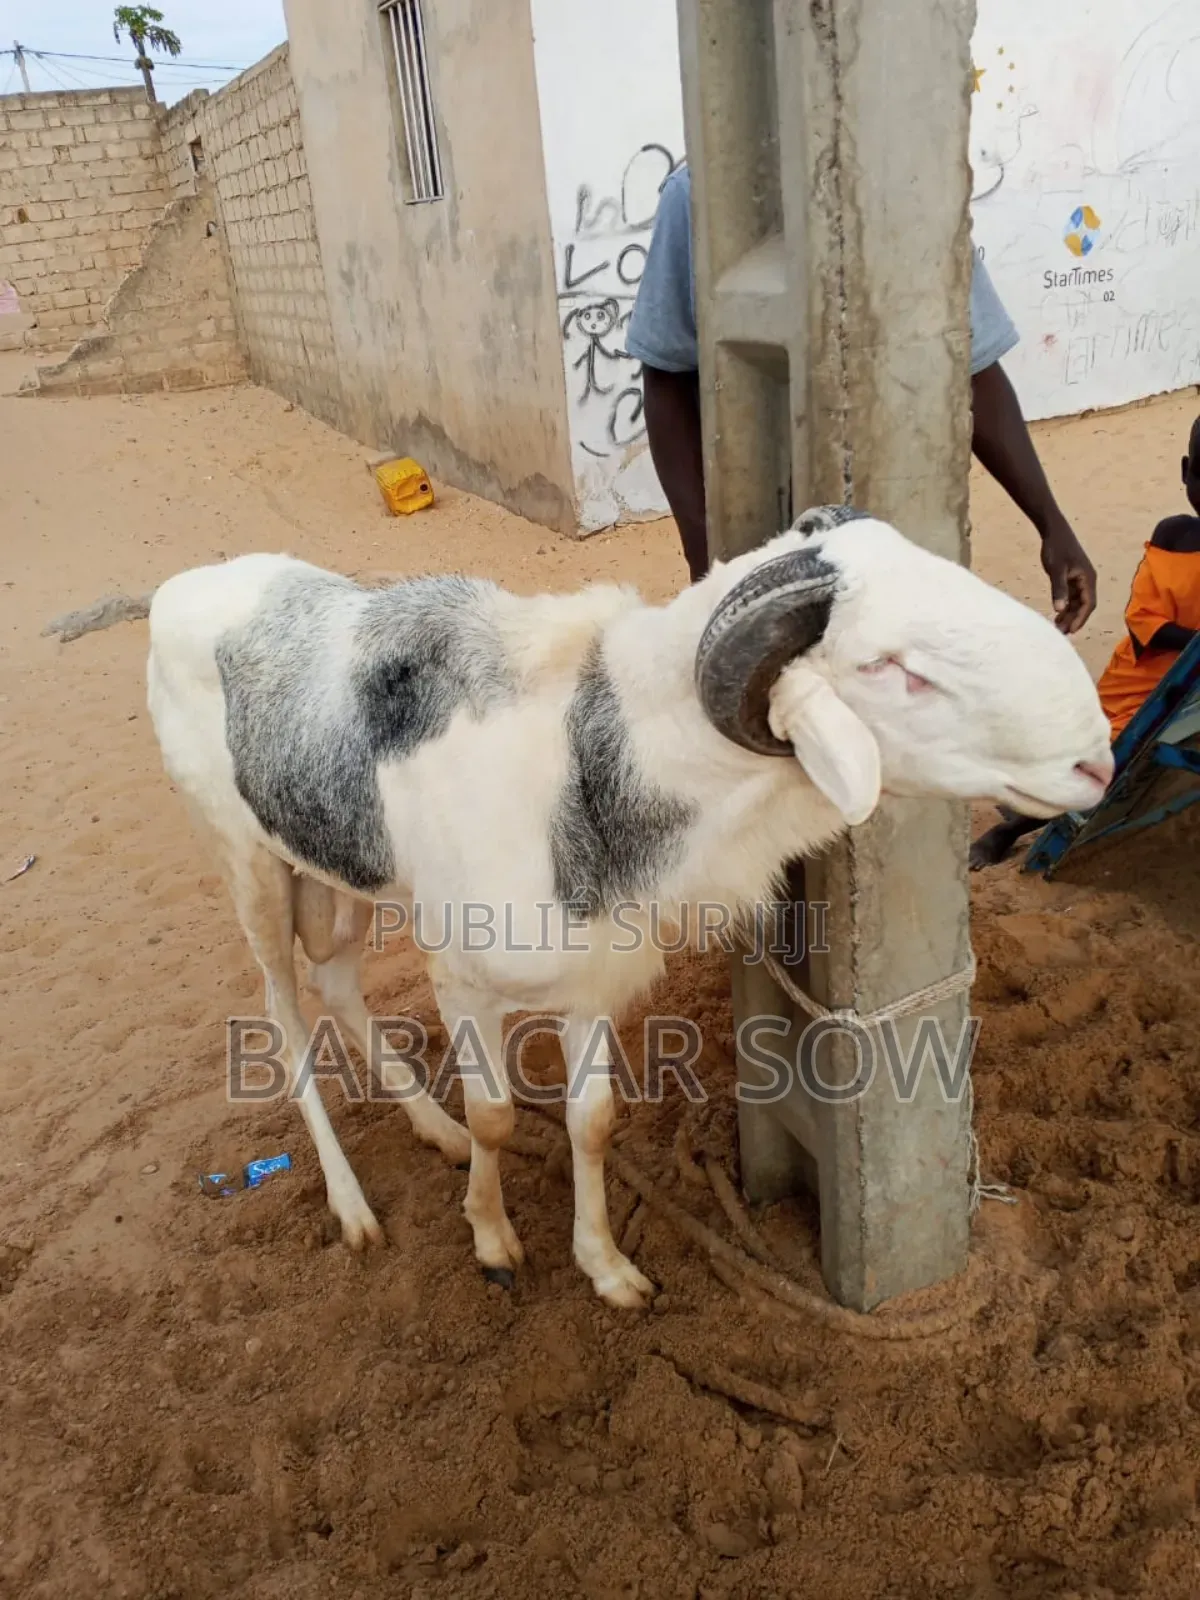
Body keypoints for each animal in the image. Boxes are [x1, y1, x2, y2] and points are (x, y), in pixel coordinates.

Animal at [143, 505, 1113, 1308]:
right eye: (890, 669)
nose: (1096, 759)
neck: (589, 773)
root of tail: (179, 589)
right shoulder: (463, 980)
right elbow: (500, 1115)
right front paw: (492, 1240)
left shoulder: (593, 986)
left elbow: (592, 1123)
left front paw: (607, 1269)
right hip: (249, 867)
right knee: (284, 1014)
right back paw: (354, 1207)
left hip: (331, 868)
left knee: (339, 982)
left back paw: (434, 1130)